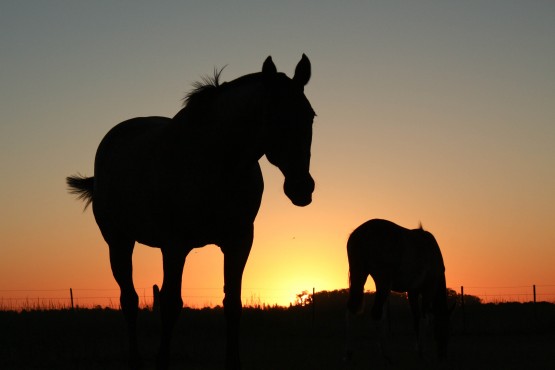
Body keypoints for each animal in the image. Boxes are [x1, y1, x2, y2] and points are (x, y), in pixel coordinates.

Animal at [67, 55, 314, 370]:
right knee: (129, 300)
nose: (302, 188)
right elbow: (171, 304)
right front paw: (162, 361)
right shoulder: (175, 245)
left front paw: (233, 363)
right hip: (119, 242)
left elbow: (233, 304)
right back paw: (135, 360)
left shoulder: (239, 241)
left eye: (310, 116)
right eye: (273, 117)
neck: (215, 163)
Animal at [346, 218, 450, 362]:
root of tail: (361, 234)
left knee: (352, 308)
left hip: (360, 275)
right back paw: (385, 355)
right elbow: (425, 318)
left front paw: (419, 350)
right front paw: (423, 351)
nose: (443, 355)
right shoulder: (428, 289)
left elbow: (416, 318)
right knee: (376, 313)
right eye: (445, 327)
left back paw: (349, 353)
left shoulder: (412, 291)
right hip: (383, 282)